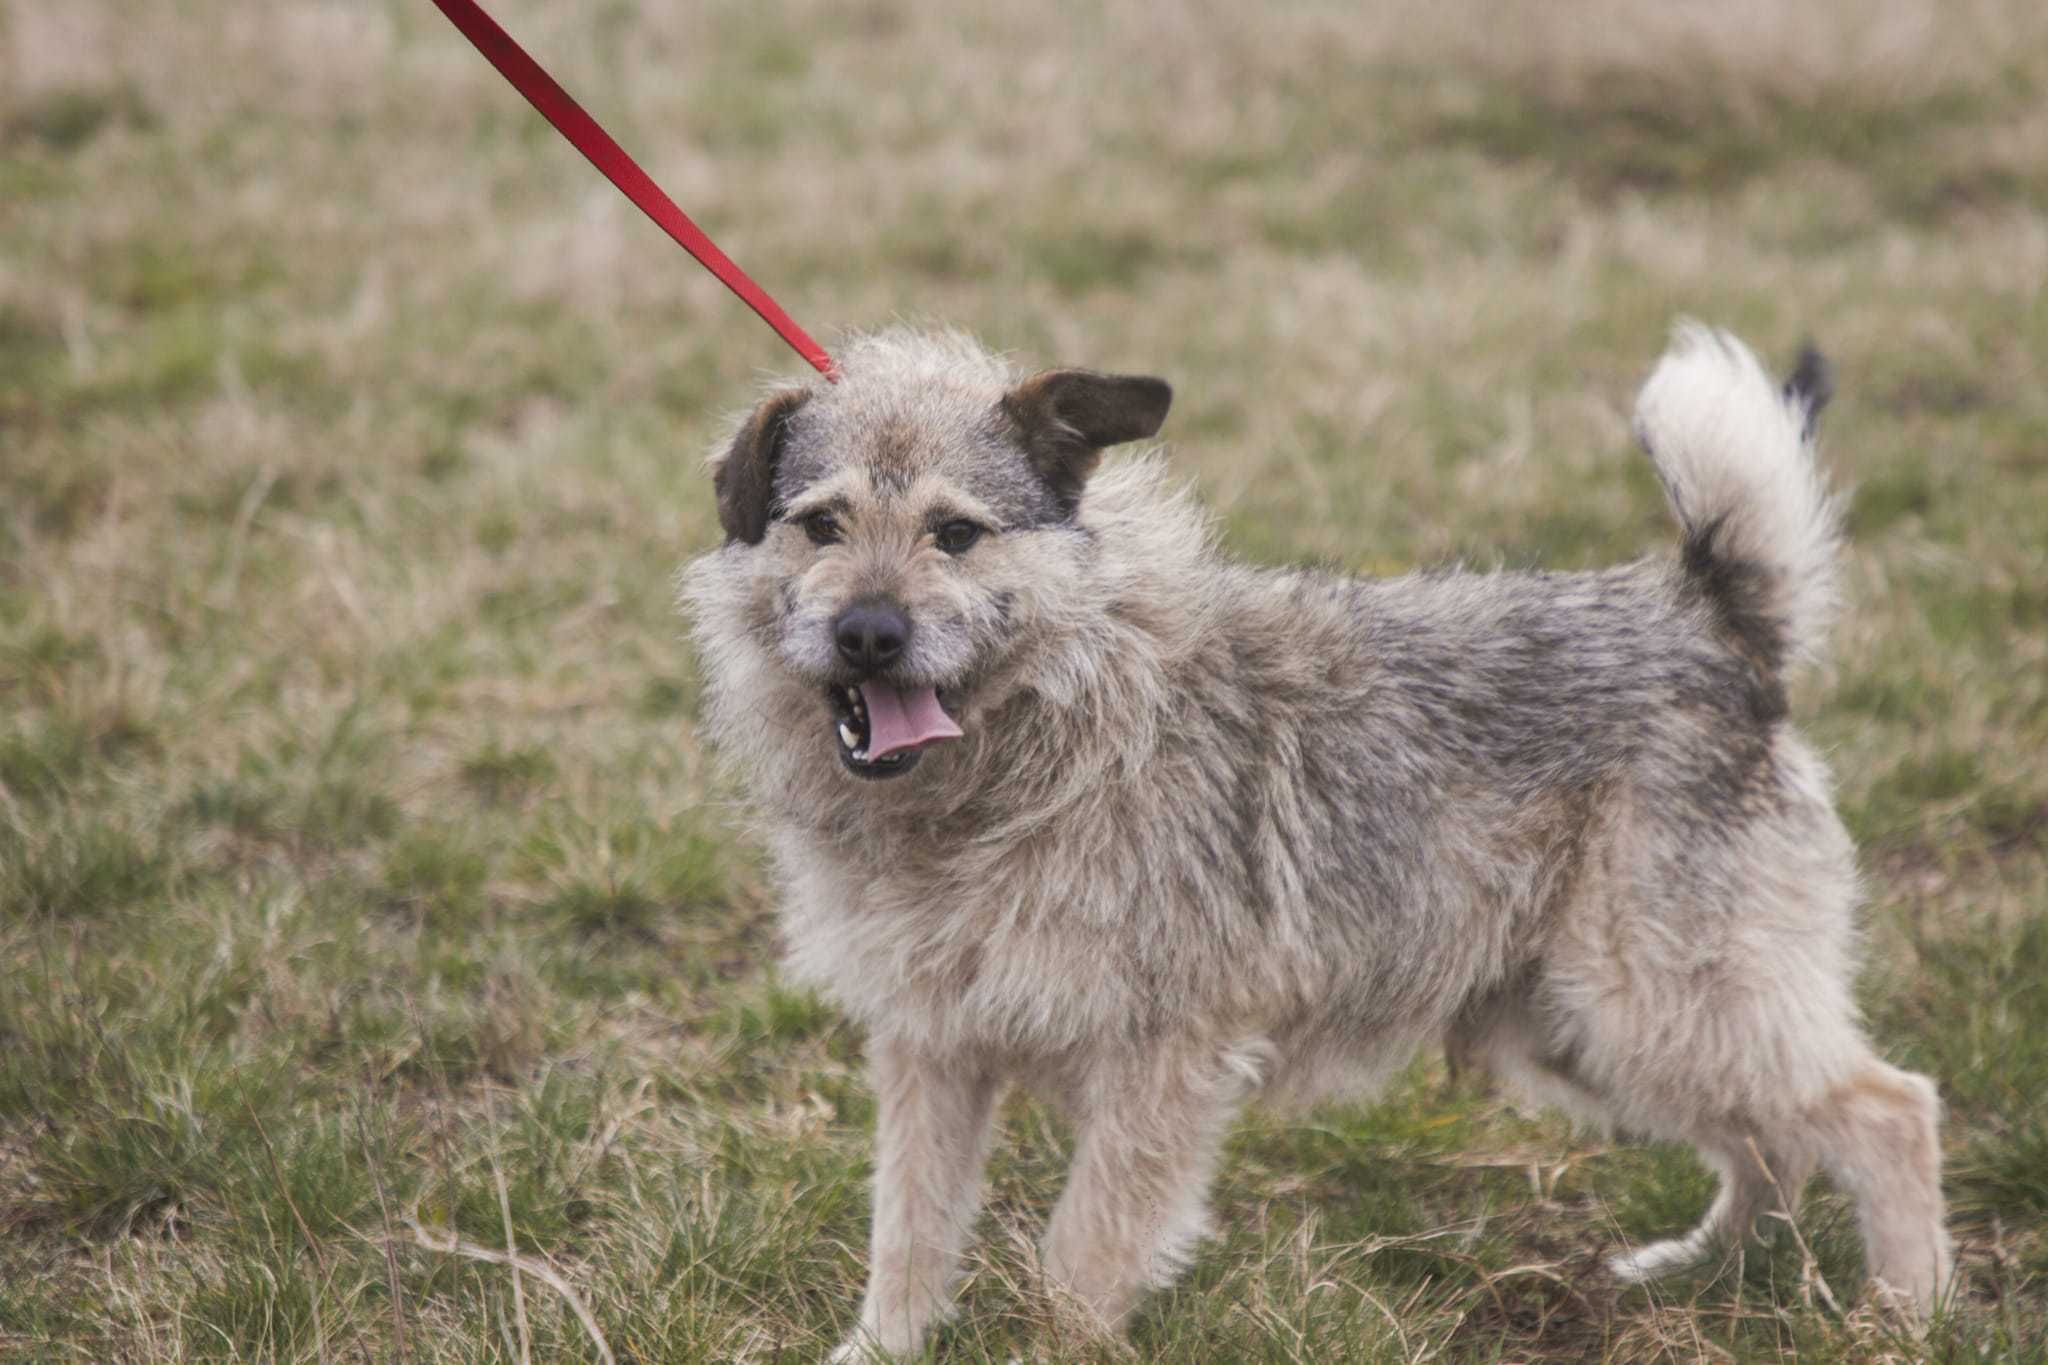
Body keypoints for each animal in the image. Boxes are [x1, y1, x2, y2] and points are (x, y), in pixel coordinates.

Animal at [684, 321, 1949, 1358]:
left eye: (955, 534)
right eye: (821, 525)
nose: (868, 632)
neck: (1020, 755)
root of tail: (1713, 616)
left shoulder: (1162, 1063)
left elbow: (1077, 1263)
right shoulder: (931, 1052)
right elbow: (908, 1238)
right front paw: (879, 1350)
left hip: (1660, 1003)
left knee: (1884, 1111)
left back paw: (1902, 1317)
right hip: (1584, 1025)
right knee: (1772, 1144)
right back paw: (1704, 1271)